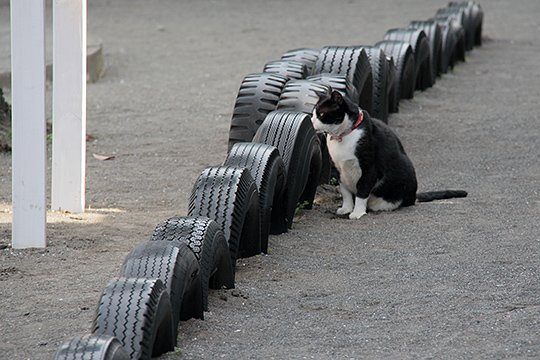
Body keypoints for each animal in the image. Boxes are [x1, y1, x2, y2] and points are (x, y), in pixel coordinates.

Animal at [310, 90, 466, 219]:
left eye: (321, 114)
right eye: (313, 113)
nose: (311, 121)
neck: (343, 136)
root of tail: (413, 196)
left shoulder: (369, 167)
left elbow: (362, 190)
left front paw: (357, 212)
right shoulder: (338, 169)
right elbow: (345, 192)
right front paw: (346, 209)